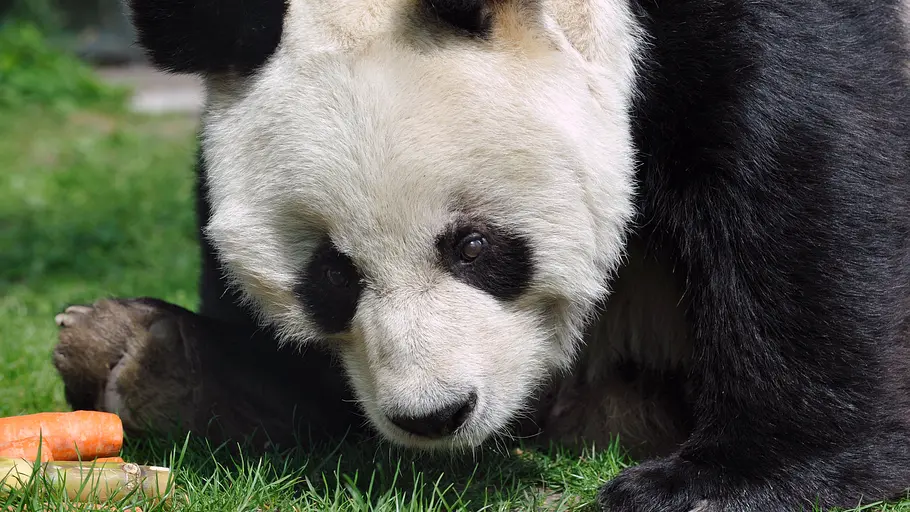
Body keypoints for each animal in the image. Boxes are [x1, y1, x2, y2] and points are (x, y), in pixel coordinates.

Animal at [50, 0, 910, 509]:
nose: (435, 414)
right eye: (330, 275)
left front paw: (723, 479)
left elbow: (804, 176)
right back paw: (150, 361)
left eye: (474, 245)